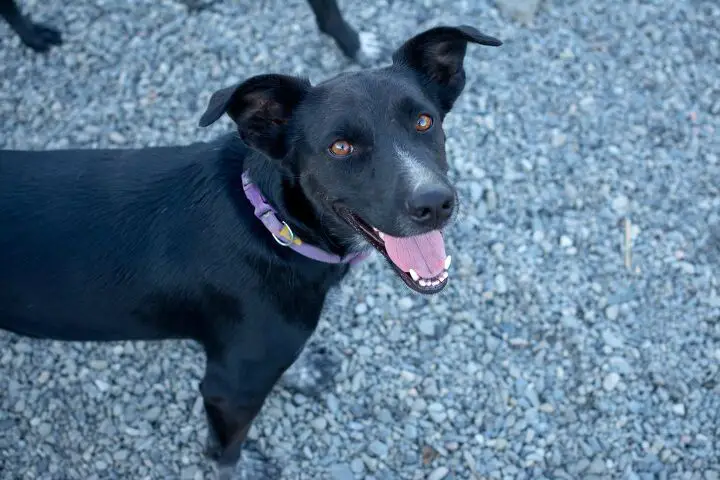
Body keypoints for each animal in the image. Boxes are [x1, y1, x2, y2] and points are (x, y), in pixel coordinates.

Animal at [1, 25, 500, 476]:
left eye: (424, 121)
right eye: (340, 147)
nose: (434, 203)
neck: (273, 226)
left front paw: (302, 374)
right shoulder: (230, 388)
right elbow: (228, 447)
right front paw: (239, 468)